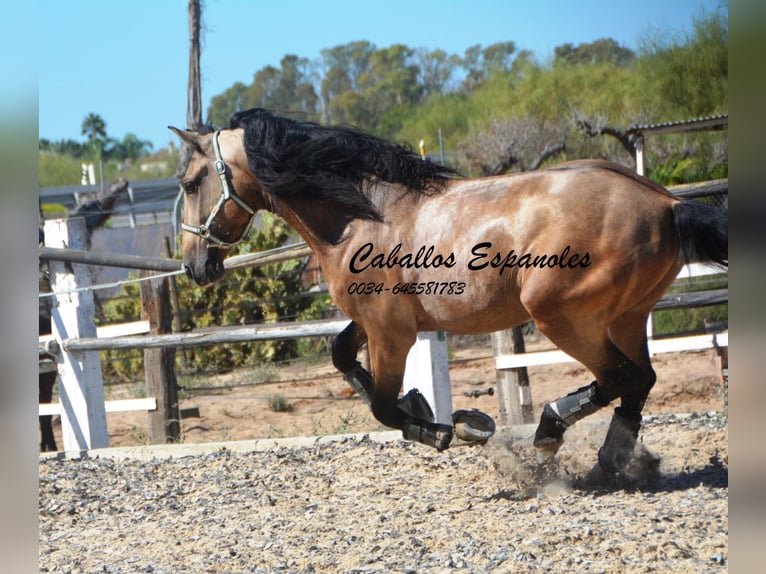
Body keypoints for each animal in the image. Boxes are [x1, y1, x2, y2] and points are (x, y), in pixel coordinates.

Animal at [171, 110, 728, 474]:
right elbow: (342, 356)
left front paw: (451, 427)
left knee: (622, 377)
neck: (361, 216)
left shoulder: (391, 332)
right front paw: (425, 408)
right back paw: (612, 462)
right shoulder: (379, 323)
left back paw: (550, 433)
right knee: (640, 380)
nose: (195, 267)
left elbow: (382, 405)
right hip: (626, 317)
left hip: (562, 316)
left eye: (192, 182)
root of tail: (666, 204)